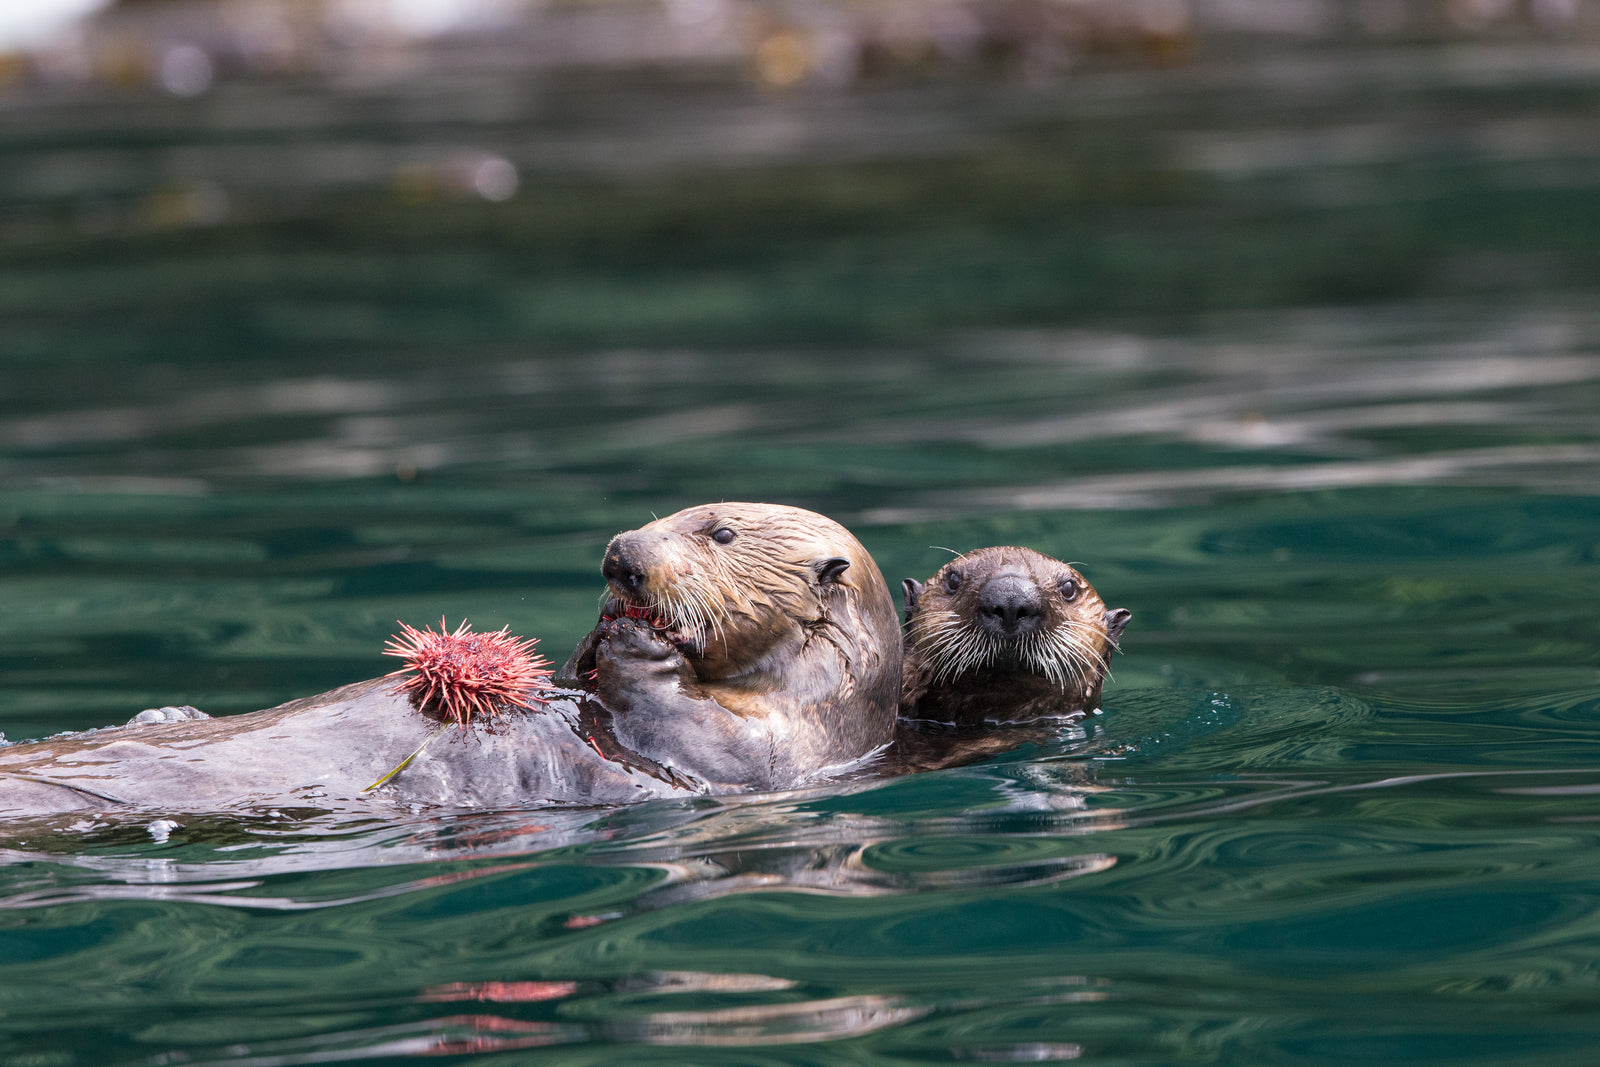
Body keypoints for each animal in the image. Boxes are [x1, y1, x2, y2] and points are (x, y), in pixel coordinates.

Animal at [561, 502, 902, 791]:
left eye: (723, 535)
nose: (620, 555)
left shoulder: (786, 747)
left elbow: (710, 740)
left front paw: (637, 644)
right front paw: (606, 621)